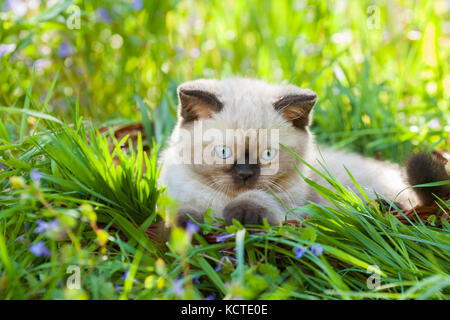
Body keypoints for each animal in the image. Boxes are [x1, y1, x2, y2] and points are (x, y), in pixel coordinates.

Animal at [158, 78, 446, 226]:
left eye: (268, 155)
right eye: (224, 151)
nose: (245, 174)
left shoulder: (291, 208)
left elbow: (258, 201)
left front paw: (243, 214)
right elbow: (185, 212)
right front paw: (190, 221)